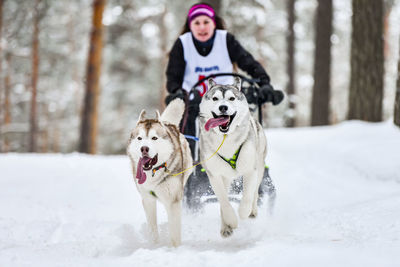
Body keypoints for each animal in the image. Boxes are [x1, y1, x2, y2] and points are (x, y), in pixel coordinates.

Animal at [126, 99, 192, 248]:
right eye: (139, 138)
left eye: (154, 138)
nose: (144, 148)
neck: (154, 173)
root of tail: (168, 123)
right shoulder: (148, 200)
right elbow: (152, 230)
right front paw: (154, 246)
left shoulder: (173, 200)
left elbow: (175, 234)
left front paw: (175, 249)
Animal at [198, 77, 268, 239]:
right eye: (215, 98)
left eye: (231, 98)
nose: (223, 107)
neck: (226, 139)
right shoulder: (215, 175)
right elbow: (224, 202)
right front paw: (231, 221)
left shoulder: (250, 170)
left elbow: (248, 195)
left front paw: (243, 212)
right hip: (226, 177)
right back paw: (226, 227)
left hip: (260, 168)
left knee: (255, 192)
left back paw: (252, 211)